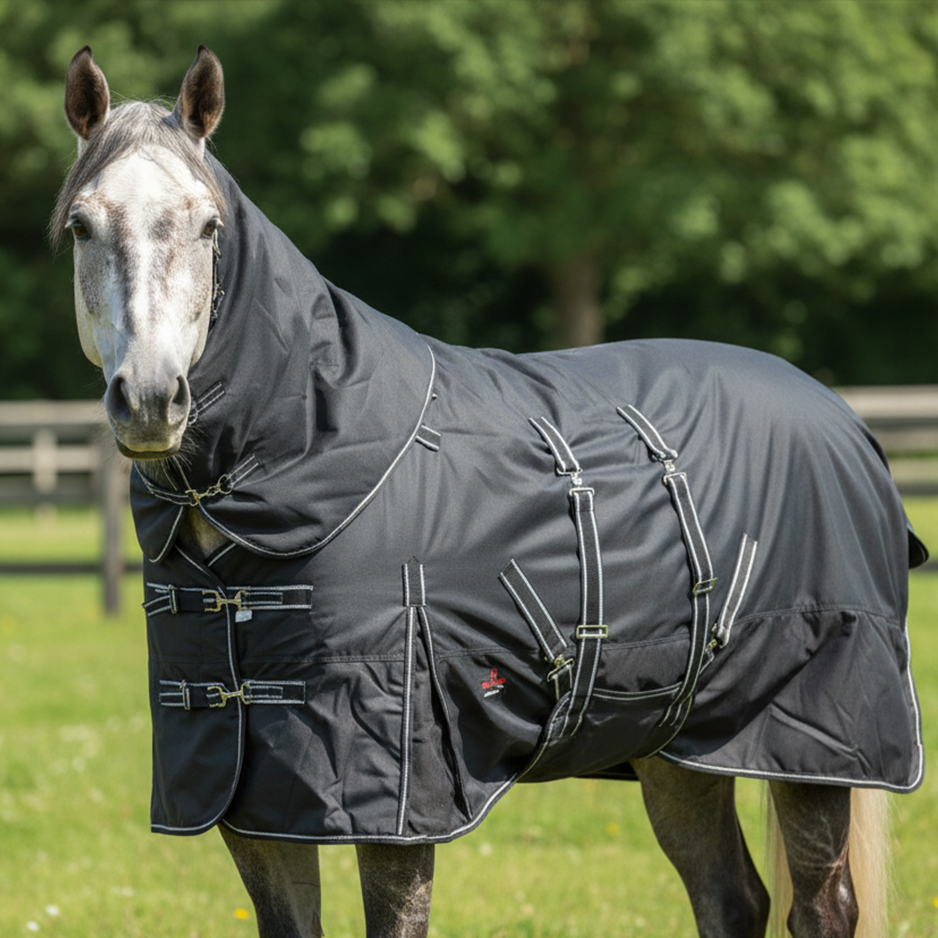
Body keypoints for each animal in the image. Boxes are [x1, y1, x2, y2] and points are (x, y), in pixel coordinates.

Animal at [54, 46, 926, 938]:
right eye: (82, 226)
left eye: (209, 226)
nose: (150, 399)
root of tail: (840, 416)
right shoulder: (250, 796)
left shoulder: (400, 799)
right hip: (676, 743)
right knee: (730, 897)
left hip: (814, 741)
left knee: (820, 908)